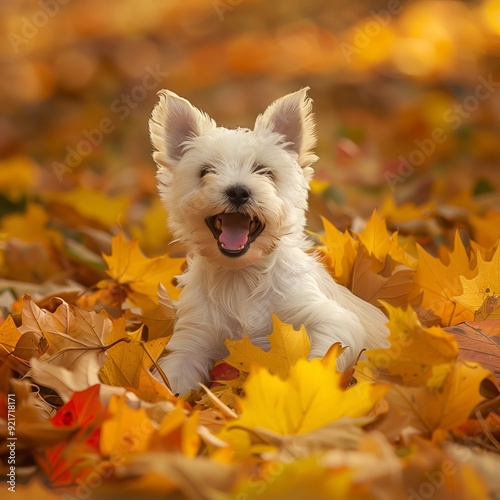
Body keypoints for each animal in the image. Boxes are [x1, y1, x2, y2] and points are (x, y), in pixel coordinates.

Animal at [149, 89, 390, 394]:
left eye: (264, 171)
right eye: (205, 171)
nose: (238, 191)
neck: (241, 278)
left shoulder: (330, 320)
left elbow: (319, 358)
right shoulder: (192, 341)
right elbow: (170, 384)